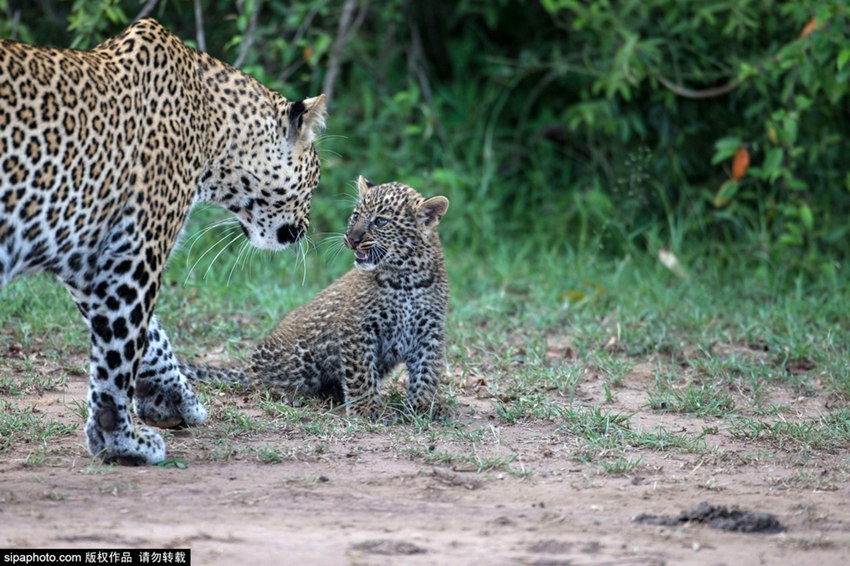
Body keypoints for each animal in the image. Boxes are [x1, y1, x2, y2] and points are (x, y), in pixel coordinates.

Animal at [0, 20, 326, 468]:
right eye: (315, 180)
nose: (305, 228)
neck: (215, 132)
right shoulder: (138, 249)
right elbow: (121, 348)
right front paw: (120, 439)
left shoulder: (88, 259)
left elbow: (148, 336)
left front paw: (173, 399)